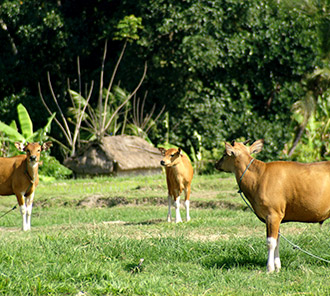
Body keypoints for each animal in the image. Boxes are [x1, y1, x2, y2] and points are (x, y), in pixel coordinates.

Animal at [215, 139, 330, 272]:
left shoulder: (272, 215)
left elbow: (271, 242)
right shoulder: (274, 217)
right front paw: (277, 266)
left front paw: (269, 268)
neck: (259, 177)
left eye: (224, 154)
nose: (216, 164)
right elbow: (277, 241)